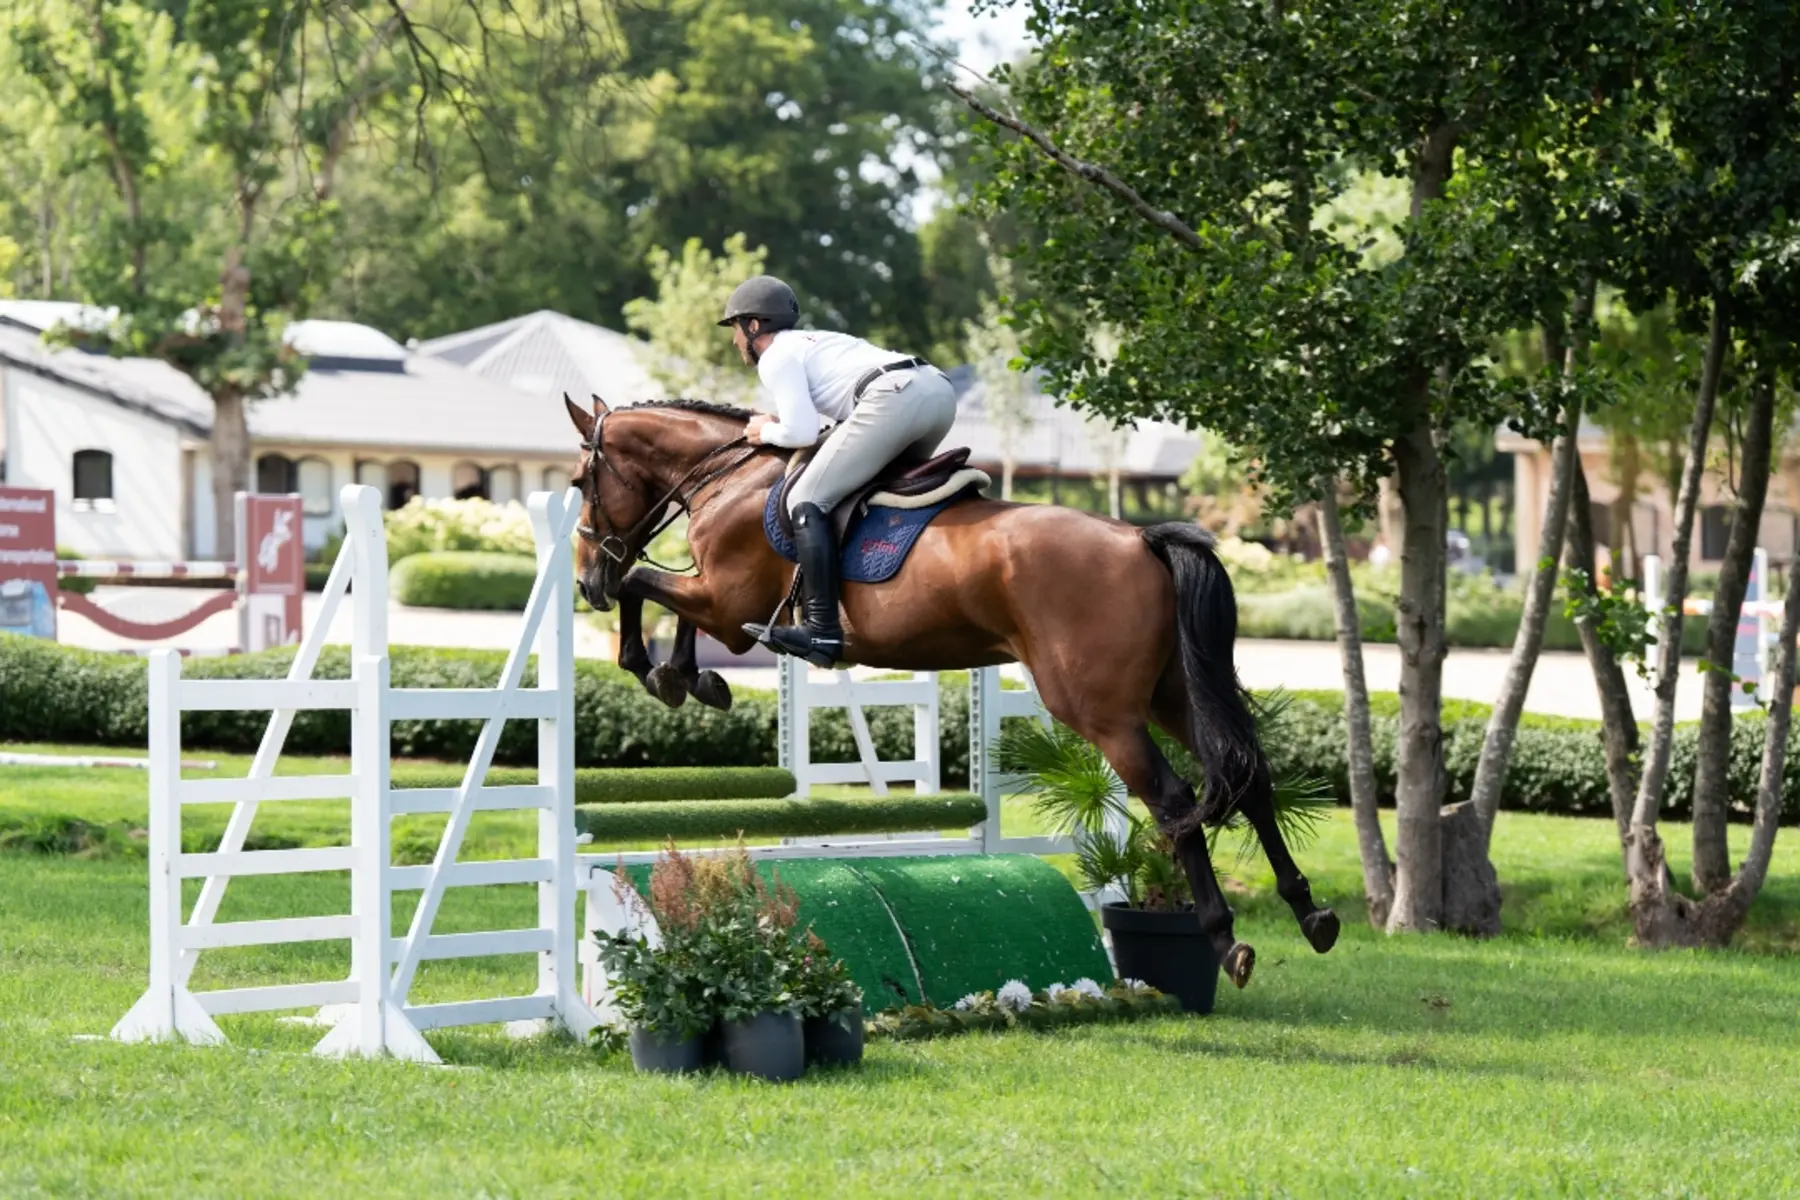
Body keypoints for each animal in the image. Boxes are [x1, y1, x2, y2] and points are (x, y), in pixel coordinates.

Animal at [562, 393, 1339, 988]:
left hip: (1102, 712)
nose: (585, 581)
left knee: (1177, 802)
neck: (729, 474)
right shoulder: (718, 601)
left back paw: (1226, 942)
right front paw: (689, 678)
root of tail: (1141, 539)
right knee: (1250, 777)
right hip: (1170, 695)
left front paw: (656, 668)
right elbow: (663, 602)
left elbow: (647, 586)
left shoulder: (725, 602)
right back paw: (1312, 916)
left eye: (580, 482)